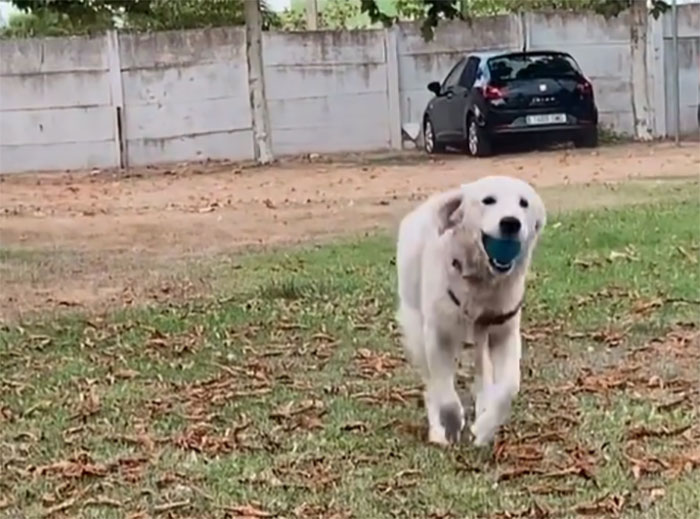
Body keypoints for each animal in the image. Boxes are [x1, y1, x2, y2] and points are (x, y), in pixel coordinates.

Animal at [396, 176, 544, 446]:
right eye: (488, 200)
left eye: (523, 203)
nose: (511, 223)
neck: (481, 283)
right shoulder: (438, 335)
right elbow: (444, 391)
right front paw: (452, 423)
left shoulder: (503, 332)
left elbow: (508, 388)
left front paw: (484, 427)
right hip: (417, 332)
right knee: (431, 386)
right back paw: (438, 430)